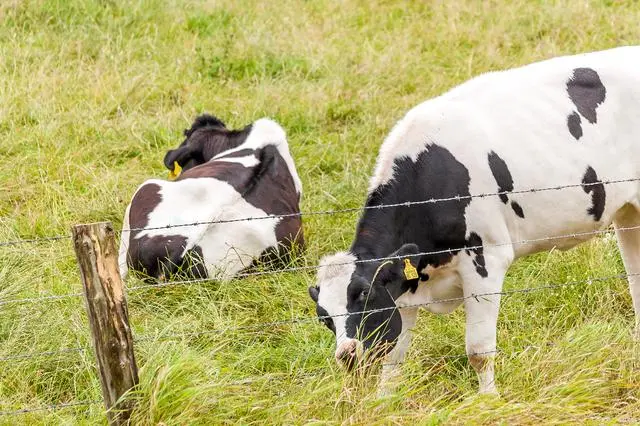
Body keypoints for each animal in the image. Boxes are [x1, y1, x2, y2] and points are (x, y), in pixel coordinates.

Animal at [308, 45, 640, 392]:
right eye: (323, 317)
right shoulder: (403, 287)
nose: (347, 354)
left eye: (363, 294)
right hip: (628, 213)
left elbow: (479, 351)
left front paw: (488, 397)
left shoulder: (486, 260)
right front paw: (384, 399)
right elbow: (394, 357)